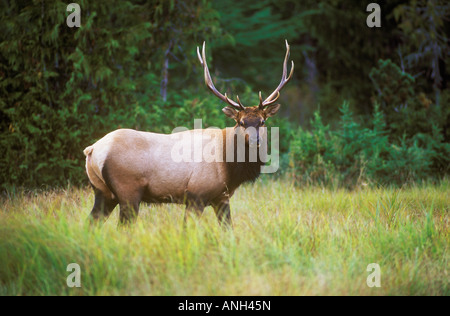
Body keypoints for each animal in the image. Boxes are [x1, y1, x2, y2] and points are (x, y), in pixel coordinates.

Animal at [84, 40, 296, 227]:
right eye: (241, 122)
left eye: (262, 121)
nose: (255, 140)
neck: (228, 167)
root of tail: (92, 150)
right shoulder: (196, 194)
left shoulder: (222, 197)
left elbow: (229, 229)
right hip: (128, 190)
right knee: (123, 226)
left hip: (102, 191)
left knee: (92, 222)